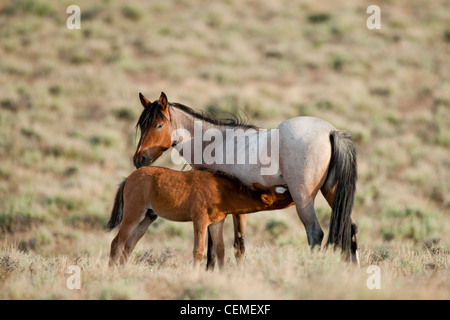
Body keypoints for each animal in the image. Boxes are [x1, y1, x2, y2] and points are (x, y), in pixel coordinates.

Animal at [107, 168, 294, 270]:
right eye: (283, 195)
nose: (294, 193)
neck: (220, 191)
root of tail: (128, 179)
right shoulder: (200, 220)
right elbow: (198, 250)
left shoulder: (217, 222)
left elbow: (220, 250)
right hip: (133, 214)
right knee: (117, 243)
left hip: (147, 218)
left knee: (129, 246)